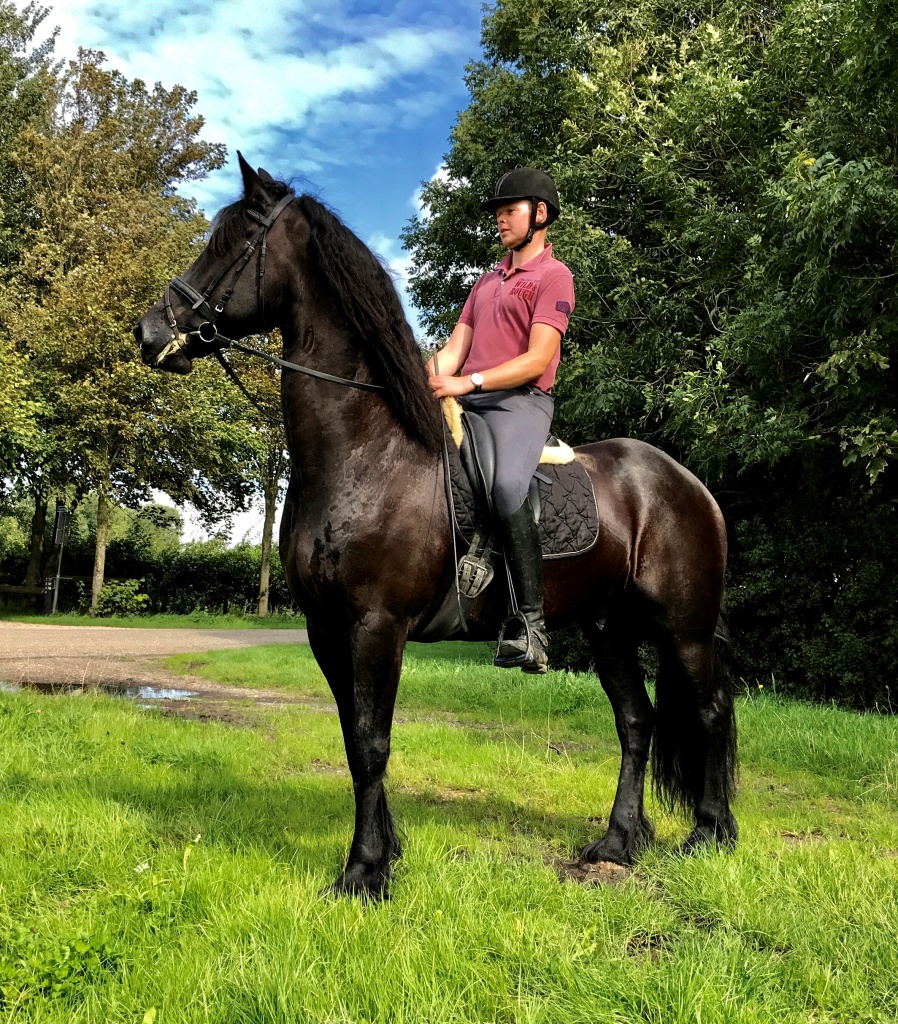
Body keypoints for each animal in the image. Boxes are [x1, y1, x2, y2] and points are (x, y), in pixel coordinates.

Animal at [135, 155, 737, 898]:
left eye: (233, 242)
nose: (150, 334)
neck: (367, 450)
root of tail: (689, 484)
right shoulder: (326, 628)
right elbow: (354, 738)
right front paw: (386, 851)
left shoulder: (377, 625)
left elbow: (372, 742)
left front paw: (364, 872)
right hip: (610, 629)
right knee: (637, 722)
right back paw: (618, 842)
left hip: (683, 628)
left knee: (709, 712)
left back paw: (710, 834)